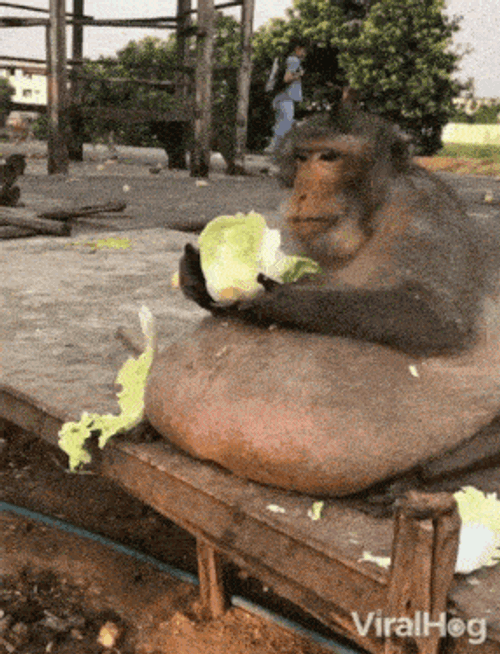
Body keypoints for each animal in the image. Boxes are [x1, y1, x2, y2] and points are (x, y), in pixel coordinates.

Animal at [179, 107, 500, 357]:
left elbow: (437, 316)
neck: (368, 221)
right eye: (302, 158)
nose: (302, 194)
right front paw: (199, 275)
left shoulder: (424, 211)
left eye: (329, 157)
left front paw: (282, 300)